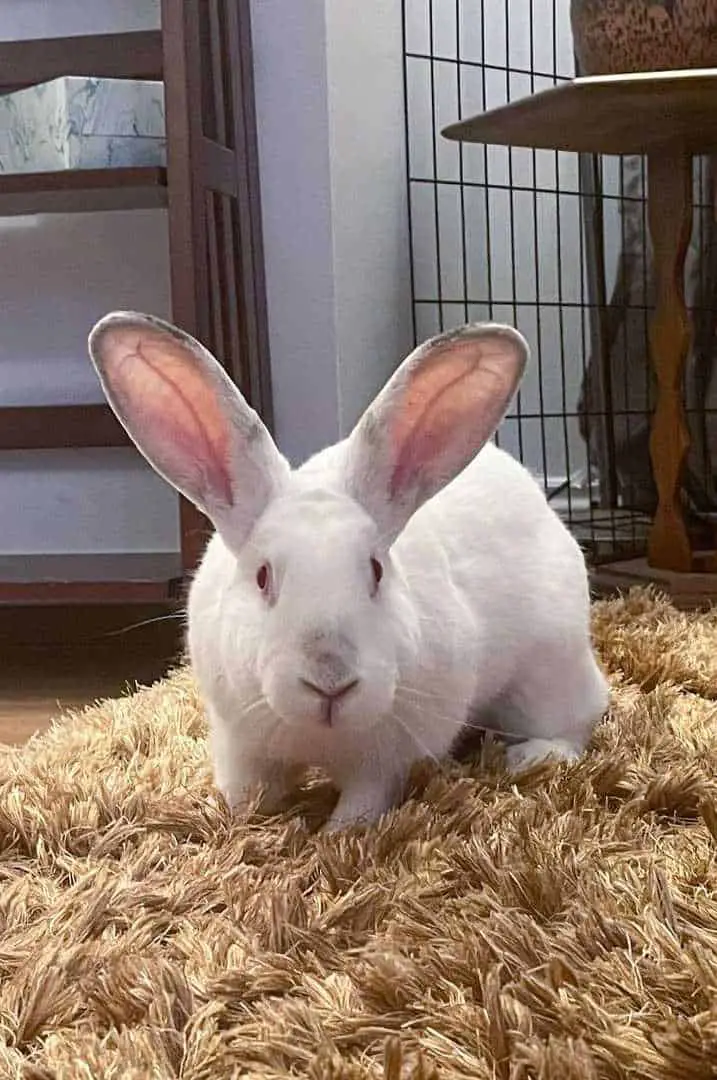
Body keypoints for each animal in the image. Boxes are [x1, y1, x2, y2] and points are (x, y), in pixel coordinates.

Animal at [86, 308, 609, 829]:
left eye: (376, 570)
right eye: (262, 576)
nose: (330, 679)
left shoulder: (384, 761)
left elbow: (363, 804)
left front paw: (336, 836)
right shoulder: (239, 745)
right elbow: (249, 793)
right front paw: (239, 823)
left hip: (546, 672)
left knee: (579, 718)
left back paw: (530, 757)